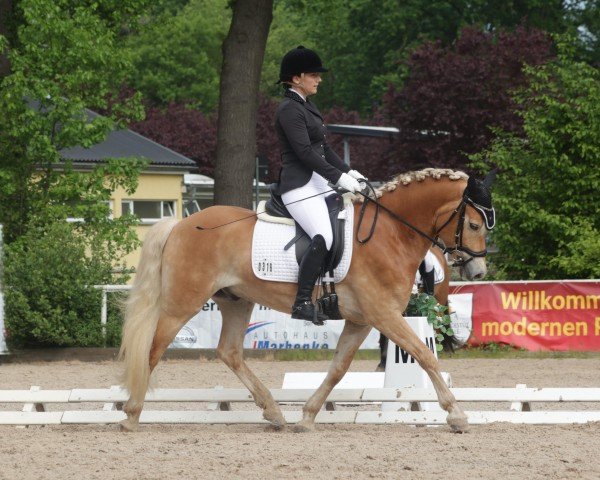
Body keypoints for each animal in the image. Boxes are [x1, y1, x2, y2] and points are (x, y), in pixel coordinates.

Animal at [117, 167, 492, 434]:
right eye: (474, 224)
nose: (478, 271)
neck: (390, 233)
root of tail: (181, 224)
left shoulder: (361, 320)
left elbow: (338, 368)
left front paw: (307, 416)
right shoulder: (384, 315)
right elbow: (425, 356)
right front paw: (456, 415)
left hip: (237, 301)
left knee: (230, 352)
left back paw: (274, 412)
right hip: (183, 303)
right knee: (153, 350)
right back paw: (131, 414)